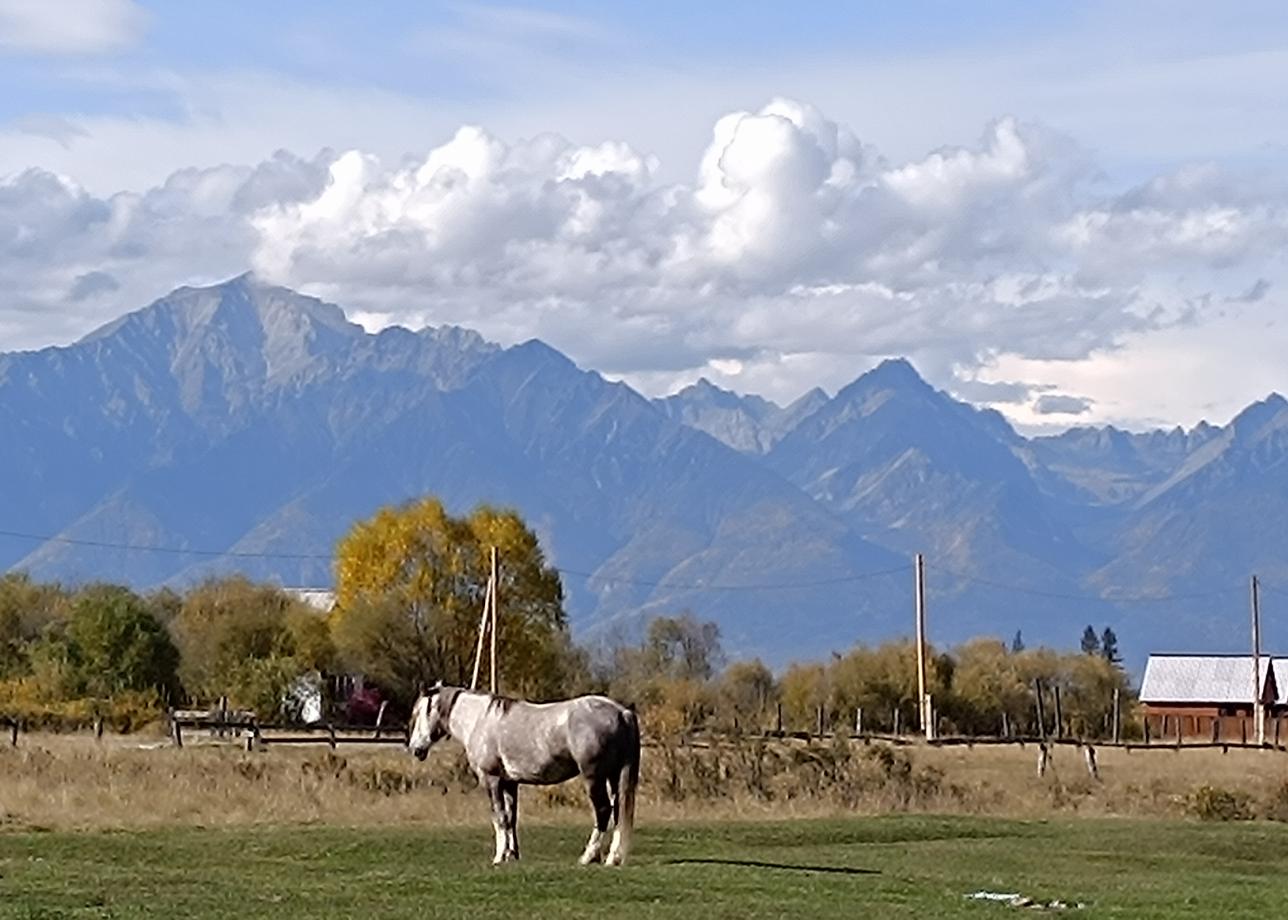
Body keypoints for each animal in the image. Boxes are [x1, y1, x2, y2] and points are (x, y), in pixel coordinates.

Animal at [409, 680, 641, 865]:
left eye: (420, 712)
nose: (416, 749)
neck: (479, 720)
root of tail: (622, 712)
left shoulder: (491, 780)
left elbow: (499, 817)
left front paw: (499, 857)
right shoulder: (510, 783)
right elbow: (511, 819)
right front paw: (512, 854)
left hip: (593, 777)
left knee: (603, 811)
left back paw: (589, 856)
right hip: (614, 776)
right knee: (618, 812)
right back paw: (613, 857)